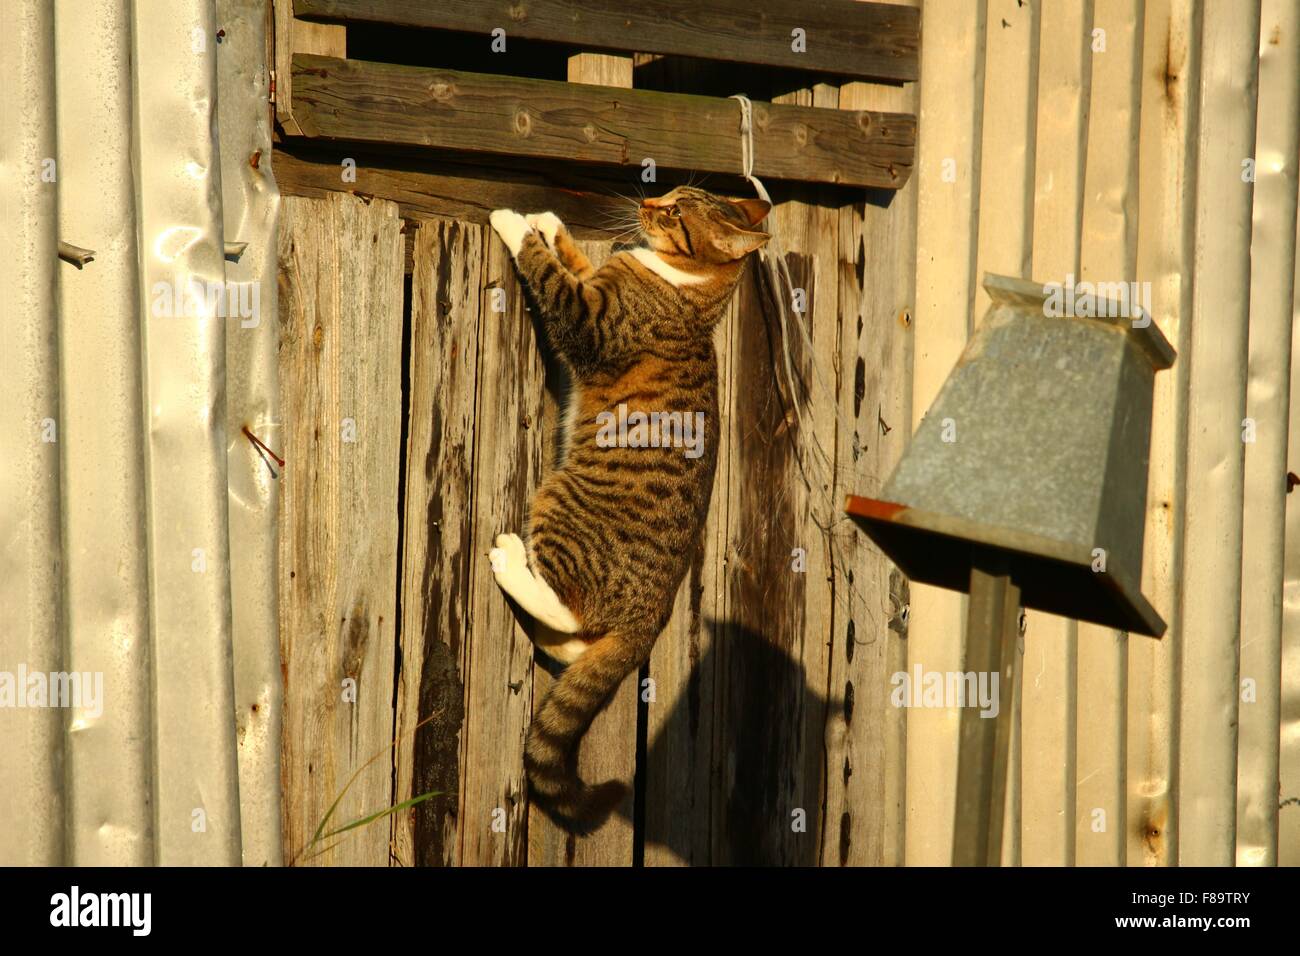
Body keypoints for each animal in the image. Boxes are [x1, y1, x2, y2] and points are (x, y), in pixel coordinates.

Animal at [488, 184, 769, 832]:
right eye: (672, 194)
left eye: (675, 212)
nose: (648, 197)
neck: (687, 286)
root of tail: (650, 615)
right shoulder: (597, 282)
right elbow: (574, 261)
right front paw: (549, 222)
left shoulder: (588, 320)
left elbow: (551, 275)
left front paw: (517, 225)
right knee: (579, 638)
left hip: (559, 496)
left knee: (564, 605)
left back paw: (512, 561)